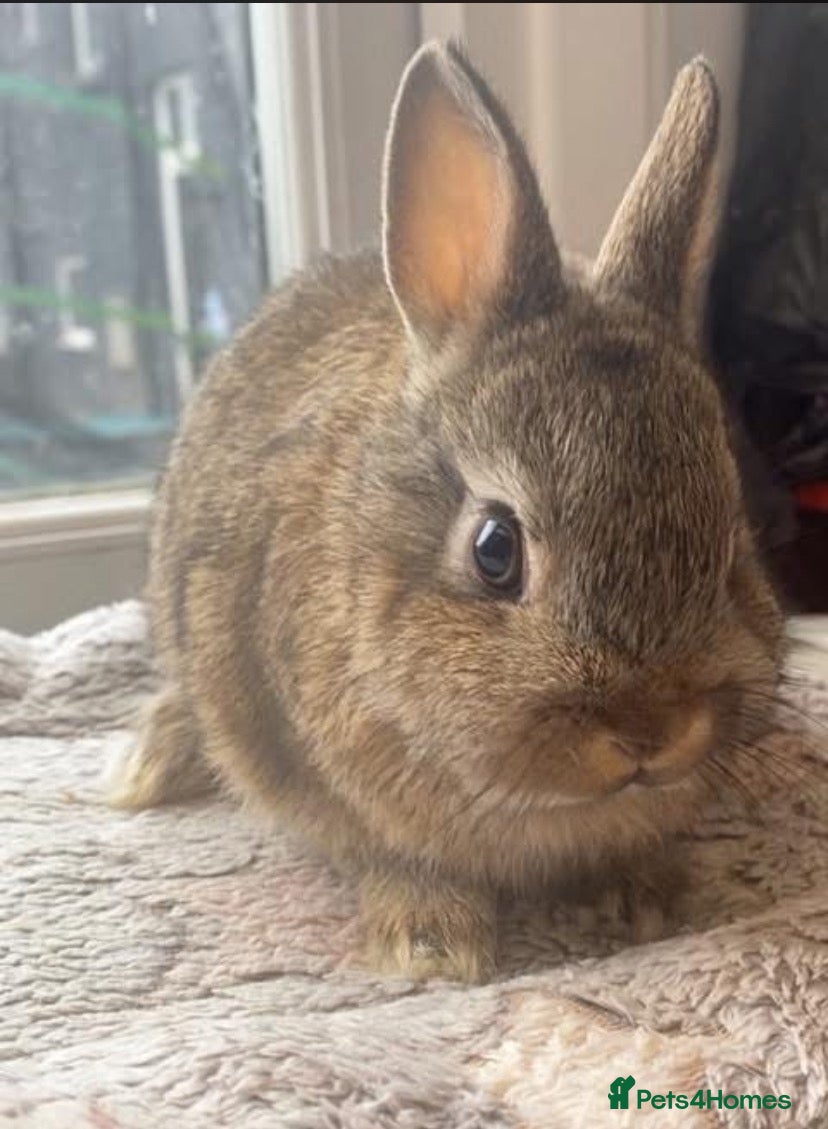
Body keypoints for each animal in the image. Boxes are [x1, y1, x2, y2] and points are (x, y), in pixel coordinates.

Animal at [109, 41, 785, 982]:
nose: (652, 729)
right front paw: (431, 943)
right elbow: (391, 858)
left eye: (729, 545)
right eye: (495, 549)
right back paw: (152, 759)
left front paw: (648, 894)